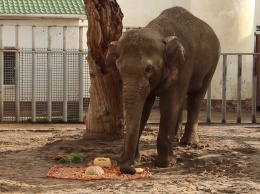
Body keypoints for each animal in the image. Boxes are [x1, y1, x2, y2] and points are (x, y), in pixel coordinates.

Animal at [105, 6, 219, 174]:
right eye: (119, 69)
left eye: (148, 69)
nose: (127, 167)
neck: (158, 31)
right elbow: (145, 107)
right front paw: (133, 159)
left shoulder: (184, 64)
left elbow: (169, 103)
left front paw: (166, 164)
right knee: (182, 100)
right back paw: (177, 138)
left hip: (212, 63)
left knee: (196, 96)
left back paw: (188, 143)